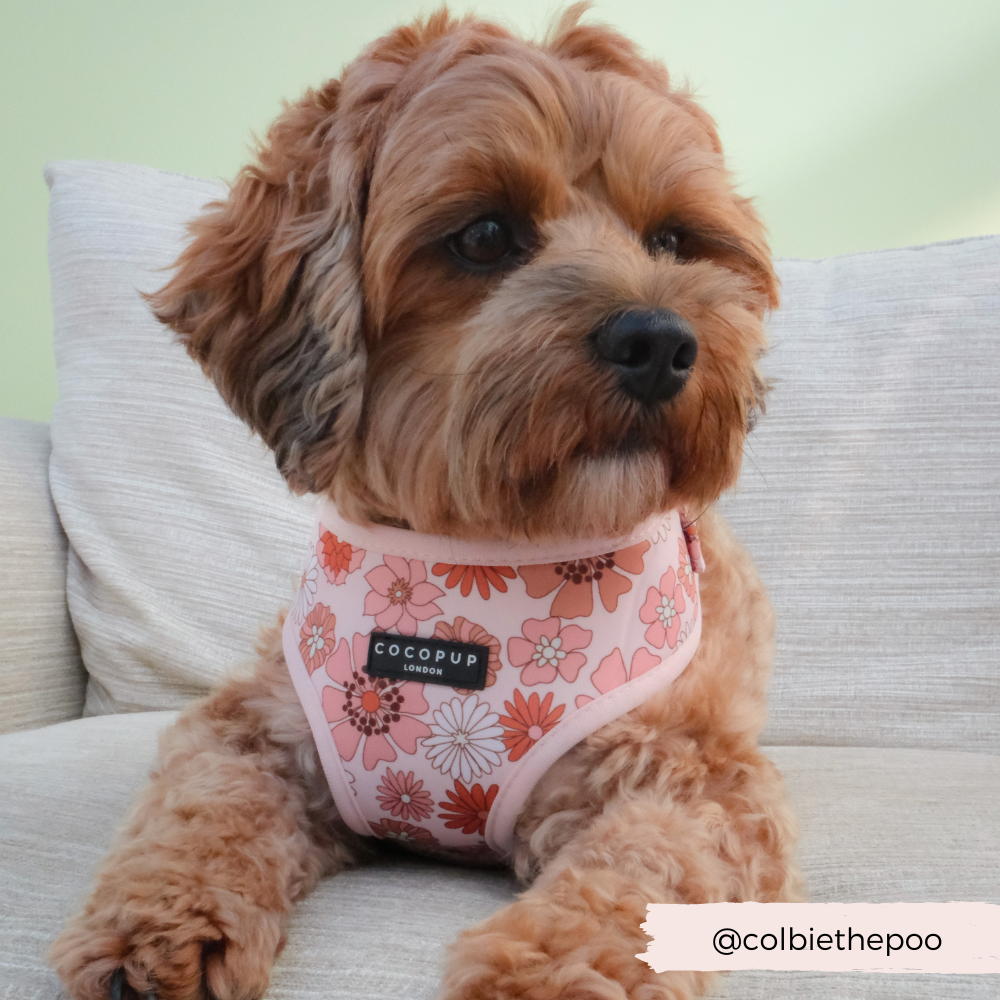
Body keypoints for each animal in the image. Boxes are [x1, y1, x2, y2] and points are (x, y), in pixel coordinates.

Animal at [52, 9, 804, 1000]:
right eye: (484, 235)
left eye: (675, 241)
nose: (661, 341)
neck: (479, 561)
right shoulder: (253, 733)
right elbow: (198, 816)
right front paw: (153, 931)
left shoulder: (697, 779)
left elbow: (638, 873)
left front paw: (547, 978)